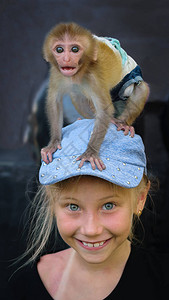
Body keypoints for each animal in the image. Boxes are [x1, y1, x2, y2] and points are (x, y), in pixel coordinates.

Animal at [41, 22, 149, 170]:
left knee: (139, 88)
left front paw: (90, 153)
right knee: (77, 94)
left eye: (75, 49)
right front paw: (53, 143)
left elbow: (104, 112)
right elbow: (54, 103)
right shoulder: (57, 73)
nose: (66, 59)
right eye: (59, 49)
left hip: (129, 74)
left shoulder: (94, 77)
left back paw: (122, 123)